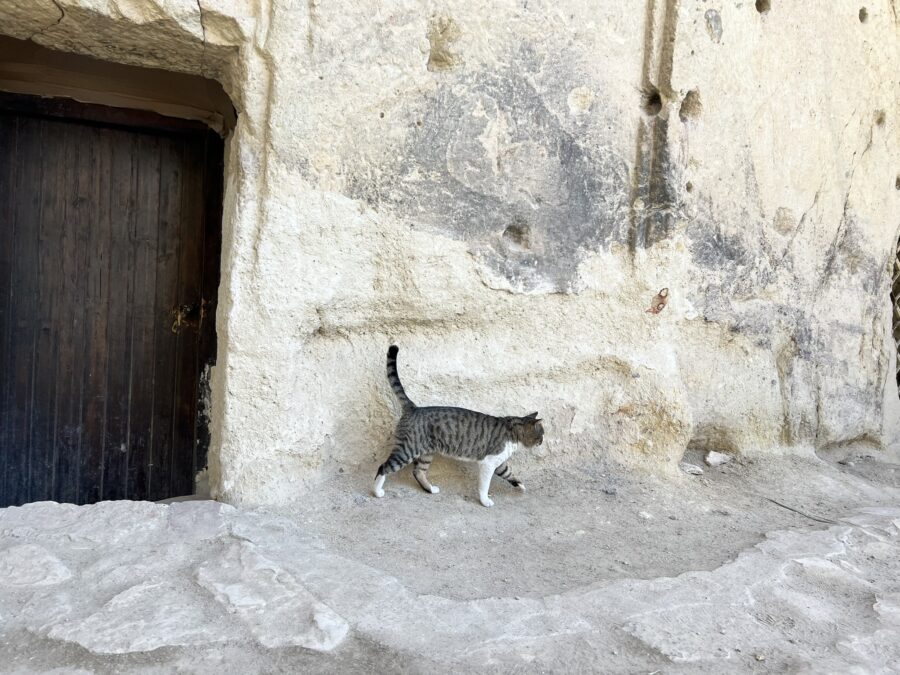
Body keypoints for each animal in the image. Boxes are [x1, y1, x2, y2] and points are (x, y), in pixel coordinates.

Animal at [370, 348, 544, 508]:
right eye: (541, 434)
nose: (542, 441)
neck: (512, 430)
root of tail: (414, 408)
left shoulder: (498, 462)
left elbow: (508, 473)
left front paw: (520, 485)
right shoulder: (488, 463)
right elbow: (485, 485)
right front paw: (485, 501)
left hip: (426, 453)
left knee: (418, 471)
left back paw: (430, 489)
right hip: (408, 450)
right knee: (383, 467)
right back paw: (377, 492)